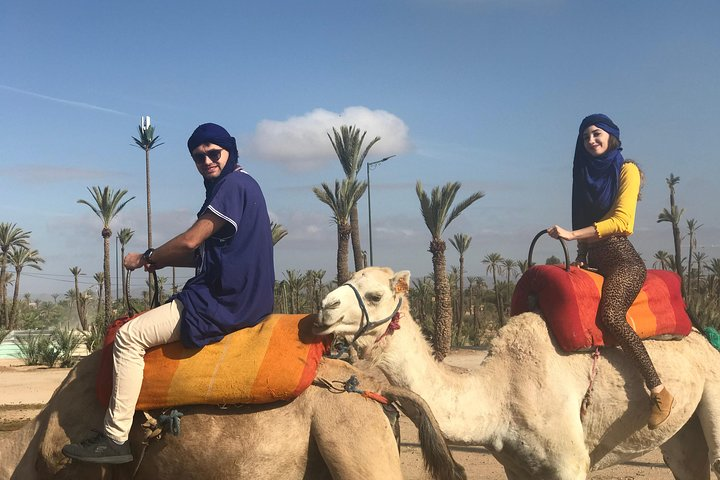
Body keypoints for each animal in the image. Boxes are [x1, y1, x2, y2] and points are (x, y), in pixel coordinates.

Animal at [318, 268, 720, 478]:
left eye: (374, 295)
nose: (325, 307)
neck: (498, 393)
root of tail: (705, 337)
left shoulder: (571, 462)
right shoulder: (516, 467)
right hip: (682, 434)